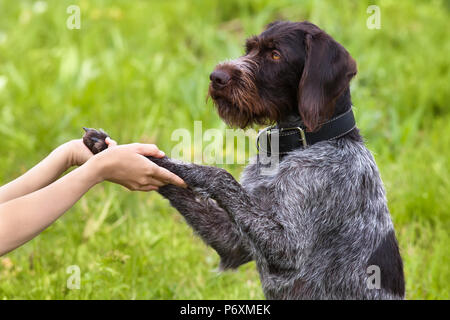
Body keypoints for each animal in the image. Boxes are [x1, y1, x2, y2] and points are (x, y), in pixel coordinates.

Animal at [83, 21, 404, 298]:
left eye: (275, 55)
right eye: (249, 48)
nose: (217, 76)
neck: (295, 148)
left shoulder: (287, 248)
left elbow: (220, 175)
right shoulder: (235, 241)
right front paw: (115, 151)